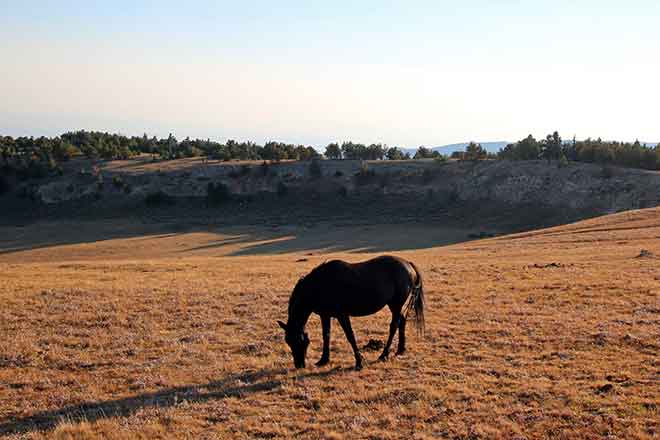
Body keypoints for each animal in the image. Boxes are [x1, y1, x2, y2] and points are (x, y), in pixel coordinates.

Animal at [278, 256, 422, 370]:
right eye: (288, 342)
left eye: (299, 341)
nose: (299, 365)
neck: (320, 285)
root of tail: (408, 264)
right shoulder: (325, 315)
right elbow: (326, 335)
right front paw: (323, 360)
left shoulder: (342, 315)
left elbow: (350, 336)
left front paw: (359, 362)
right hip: (394, 305)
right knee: (402, 321)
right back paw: (400, 350)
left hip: (396, 304)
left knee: (393, 326)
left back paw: (383, 355)